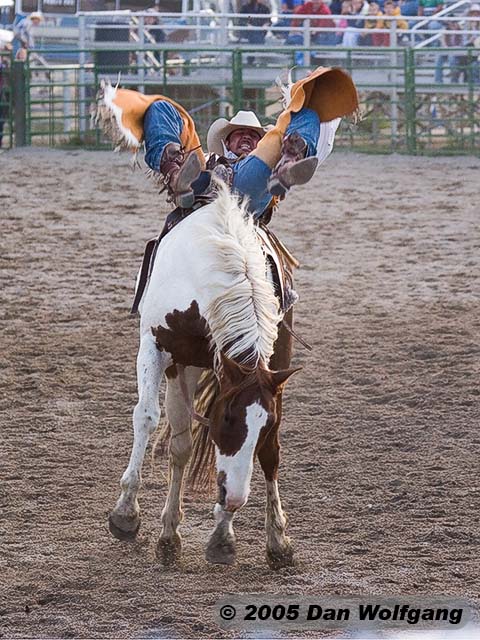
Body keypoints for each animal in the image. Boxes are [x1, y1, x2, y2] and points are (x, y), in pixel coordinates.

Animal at [108, 184, 300, 564]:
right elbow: (147, 417)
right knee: (180, 444)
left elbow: (269, 450)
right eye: (226, 419)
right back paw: (169, 533)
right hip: (184, 367)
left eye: (265, 424)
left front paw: (235, 536)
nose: (237, 499)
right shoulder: (158, 348)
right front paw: (126, 513)